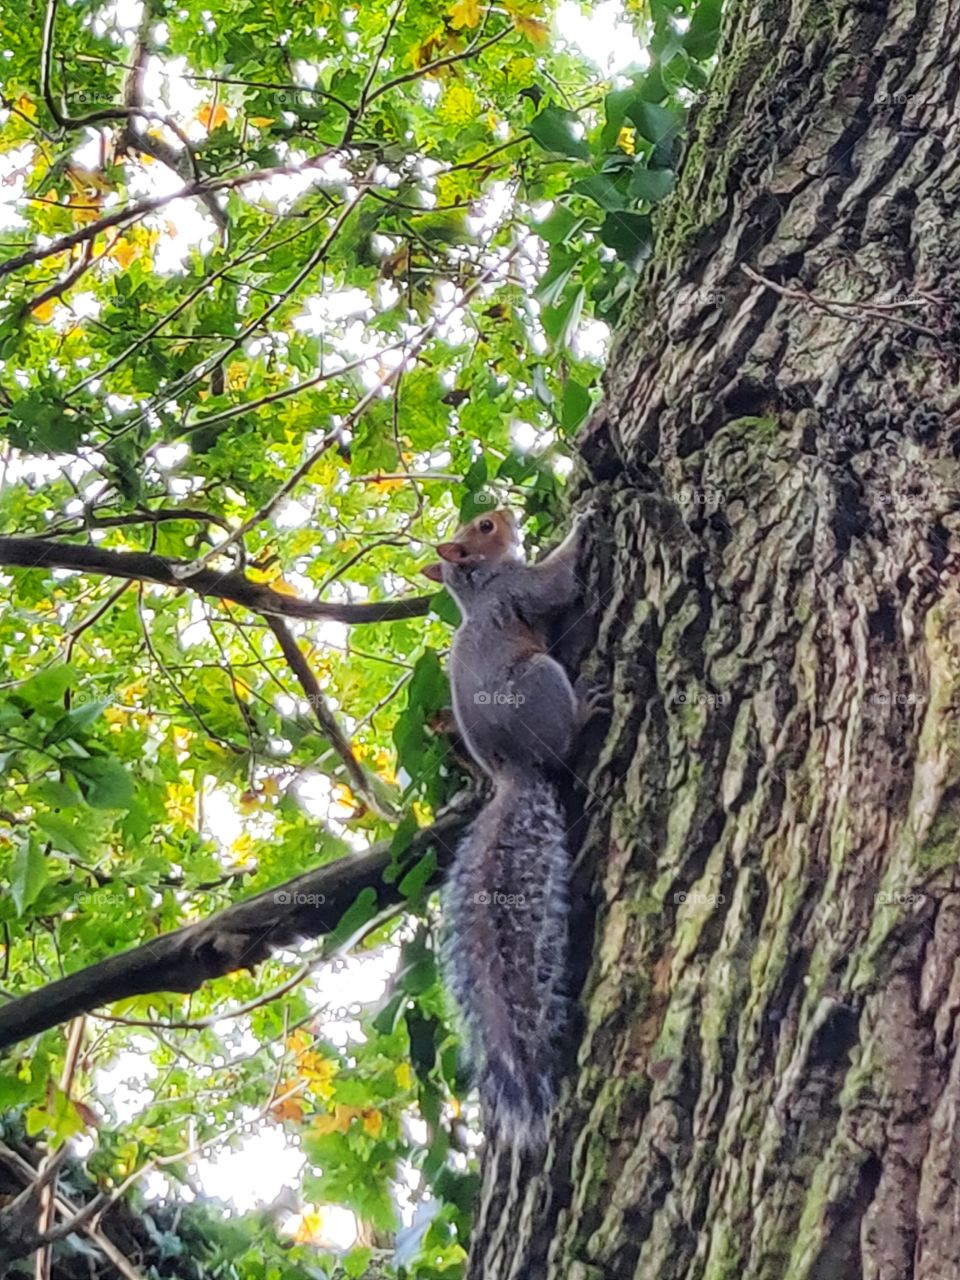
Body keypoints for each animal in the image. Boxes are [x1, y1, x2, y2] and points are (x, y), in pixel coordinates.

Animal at [422, 507, 599, 1148]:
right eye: (485, 527)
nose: (506, 510)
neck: (481, 588)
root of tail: (515, 773)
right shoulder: (522, 590)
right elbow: (557, 582)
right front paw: (583, 521)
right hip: (542, 678)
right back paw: (587, 708)